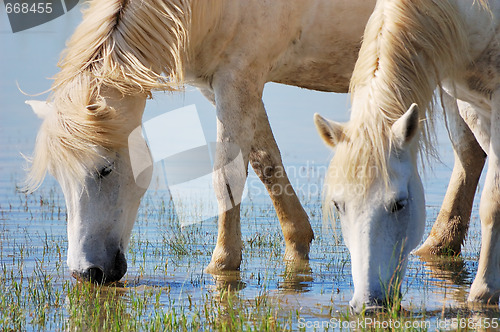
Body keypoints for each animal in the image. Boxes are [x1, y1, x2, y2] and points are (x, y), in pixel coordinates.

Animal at [23, 0, 376, 286]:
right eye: (59, 177)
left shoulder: (238, 80)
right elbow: (266, 163)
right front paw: (296, 247)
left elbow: (227, 179)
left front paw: (221, 266)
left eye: (105, 169)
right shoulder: (223, 86)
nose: (87, 272)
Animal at [314, 0, 498, 314]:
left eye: (399, 204)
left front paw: (483, 293)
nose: (369, 304)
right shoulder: (471, 104)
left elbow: (492, 203)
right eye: (338, 205)